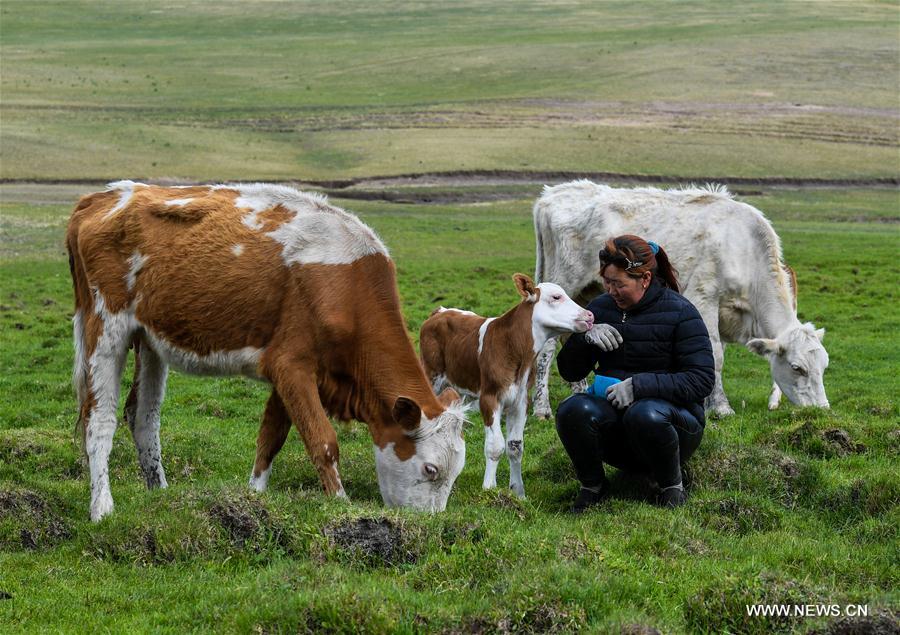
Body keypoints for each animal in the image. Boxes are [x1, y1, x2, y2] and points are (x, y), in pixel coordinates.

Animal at [67, 180, 468, 520]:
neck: (346, 291)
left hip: (150, 339)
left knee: (144, 416)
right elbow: (322, 441)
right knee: (99, 419)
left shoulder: (288, 368)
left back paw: (160, 493)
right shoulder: (293, 366)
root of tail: (101, 197)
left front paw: (255, 495)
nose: (431, 524)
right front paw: (341, 505)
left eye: (456, 472)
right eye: (430, 468)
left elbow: (271, 437)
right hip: (106, 327)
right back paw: (102, 508)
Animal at [420, 276, 596, 500]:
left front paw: (518, 492)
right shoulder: (489, 398)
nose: (589, 315)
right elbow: (495, 446)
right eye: (556, 297)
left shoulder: (521, 401)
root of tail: (440, 311)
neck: (514, 348)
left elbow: (515, 446)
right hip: (431, 375)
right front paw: (489, 488)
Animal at [532, 180, 832, 418]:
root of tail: (551, 195)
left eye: (824, 366)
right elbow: (715, 354)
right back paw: (542, 408)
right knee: (548, 345)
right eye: (797, 368)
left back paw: (579, 391)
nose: (822, 410)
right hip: (564, 281)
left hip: (588, 291)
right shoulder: (704, 297)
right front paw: (721, 408)